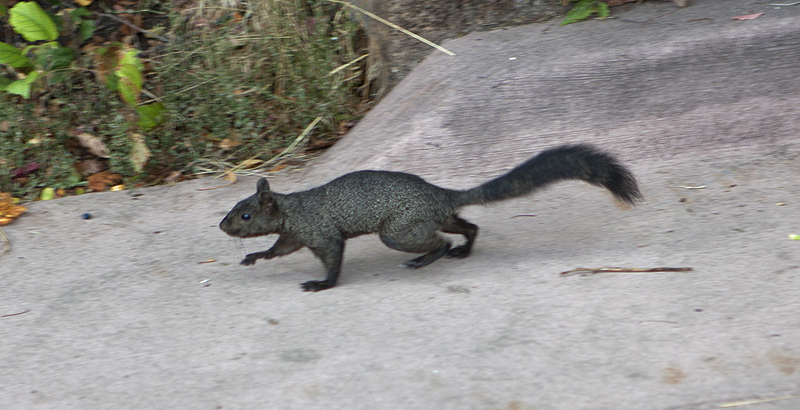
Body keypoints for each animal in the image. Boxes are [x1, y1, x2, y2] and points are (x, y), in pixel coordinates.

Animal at [220, 144, 644, 292]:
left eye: (245, 214)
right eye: (236, 209)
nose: (222, 226)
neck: (294, 210)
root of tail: (440, 193)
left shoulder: (321, 233)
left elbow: (332, 258)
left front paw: (323, 284)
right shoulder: (295, 235)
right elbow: (278, 249)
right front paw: (254, 257)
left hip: (401, 230)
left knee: (441, 240)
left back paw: (426, 260)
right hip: (431, 218)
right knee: (468, 226)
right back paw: (462, 251)